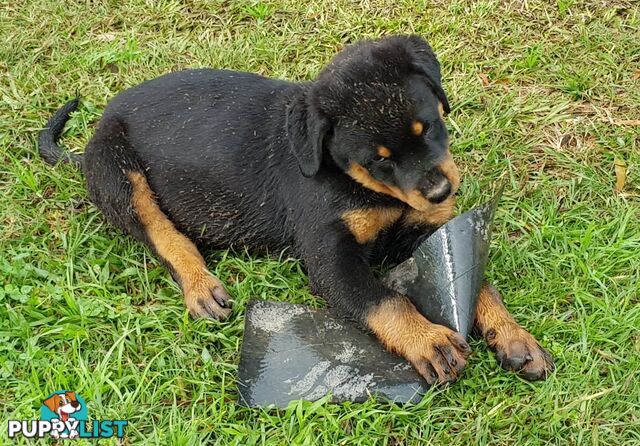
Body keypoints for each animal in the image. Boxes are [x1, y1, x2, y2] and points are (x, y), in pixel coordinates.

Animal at [40, 34, 552, 384]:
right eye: (379, 162)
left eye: (428, 128)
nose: (442, 193)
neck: (353, 181)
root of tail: (93, 136)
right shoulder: (329, 256)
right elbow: (382, 299)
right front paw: (428, 340)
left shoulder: (423, 228)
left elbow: (476, 280)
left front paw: (514, 337)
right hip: (120, 173)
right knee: (164, 234)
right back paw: (201, 286)